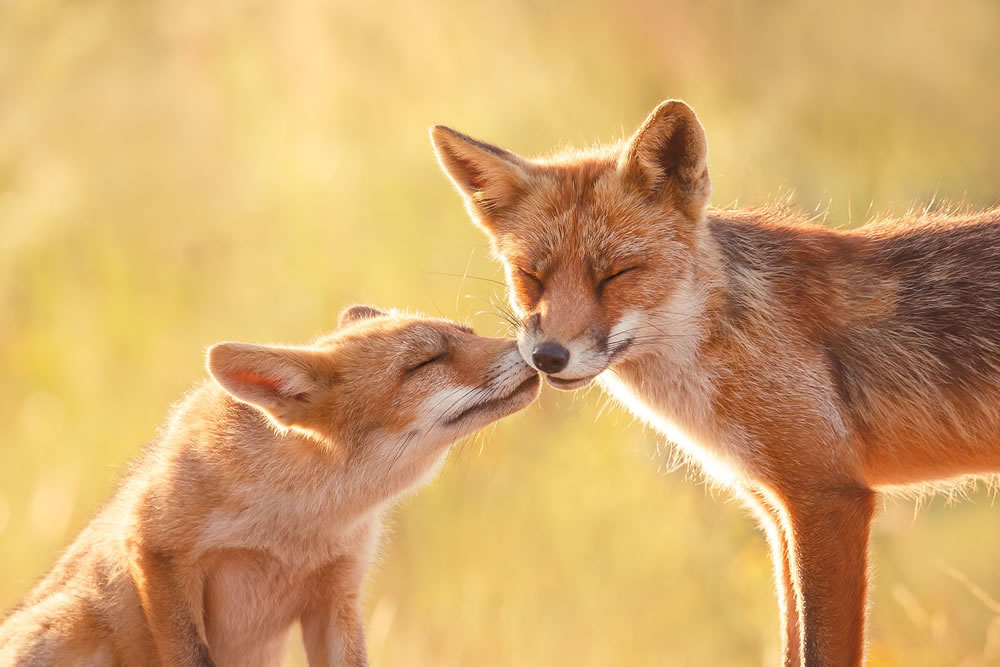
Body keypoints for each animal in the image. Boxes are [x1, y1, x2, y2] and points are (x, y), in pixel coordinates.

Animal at [0, 308, 540, 667]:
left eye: (469, 333)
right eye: (427, 362)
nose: (540, 350)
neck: (297, 525)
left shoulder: (336, 593)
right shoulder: (157, 551)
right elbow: (191, 656)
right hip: (66, 630)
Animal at [434, 100, 1000, 667]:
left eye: (616, 274)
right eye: (531, 276)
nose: (548, 356)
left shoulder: (828, 495)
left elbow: (818, 649)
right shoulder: (775, 508)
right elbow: (791, 644)